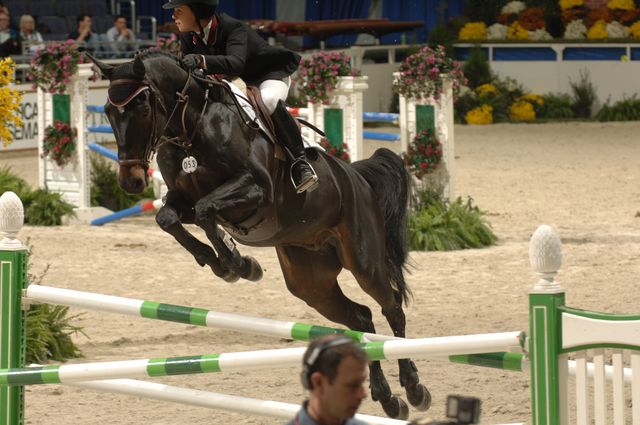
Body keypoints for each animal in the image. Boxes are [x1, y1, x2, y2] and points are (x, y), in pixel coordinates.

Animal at [90, 50, 430, 418]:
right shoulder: (183, 200)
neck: (191, 128)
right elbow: (169, 218)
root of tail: (355, 176)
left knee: (391, 306)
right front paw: (226, 264)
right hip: (311, 283)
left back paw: (414, 389)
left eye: (142, 108)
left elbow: (208, 211)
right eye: (108, 110)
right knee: (361, 319)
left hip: (363, 260)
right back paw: (389, 399)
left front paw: (238, 264)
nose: (131, 181)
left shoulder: (256, 193)